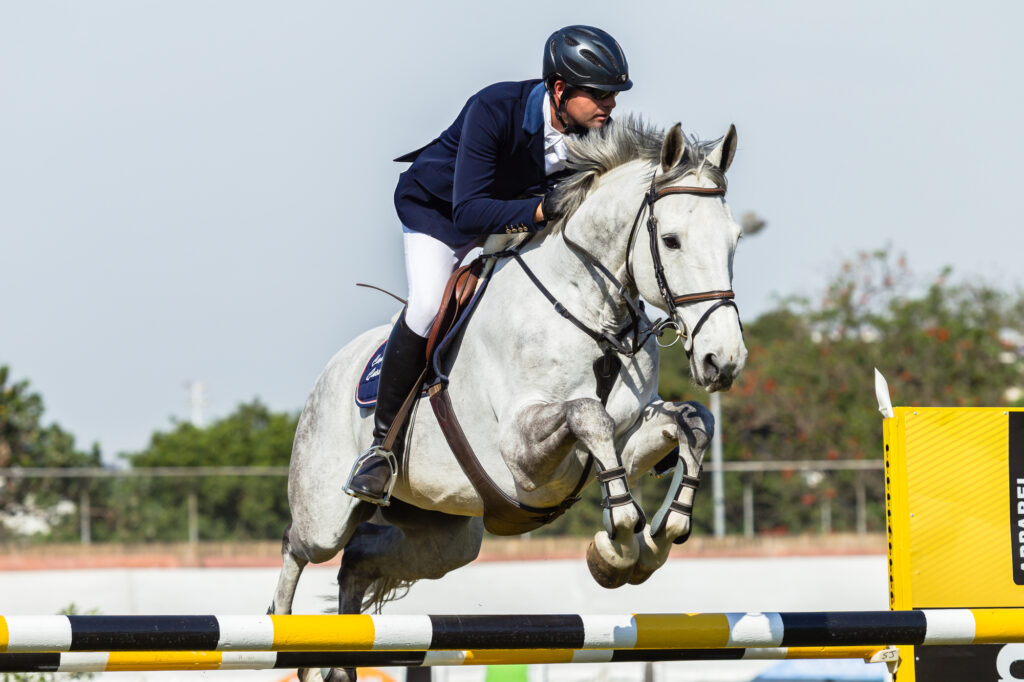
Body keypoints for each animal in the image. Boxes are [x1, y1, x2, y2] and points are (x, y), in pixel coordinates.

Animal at [270, 118, 753, 679]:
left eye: (735, 239)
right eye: (672, 241)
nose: (724, 359)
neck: (593, 313)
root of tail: (330, 373)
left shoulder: (630, 434)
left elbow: (692, 421)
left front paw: (661, 531)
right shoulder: (522, 454)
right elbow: (587, 414)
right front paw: (619, 542)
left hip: (446, 537)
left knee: (359, 559)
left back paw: (336, 658)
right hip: (325, 511)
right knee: (300, 545)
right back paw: (284, 633)